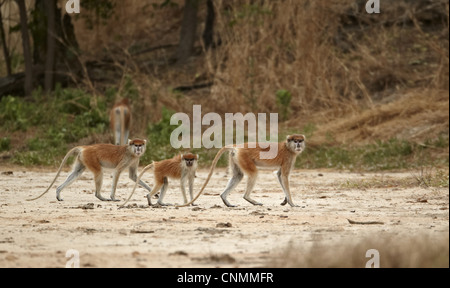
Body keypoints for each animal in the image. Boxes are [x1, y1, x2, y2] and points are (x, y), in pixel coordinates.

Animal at [178, 134, 306, 207]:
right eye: (295, 141)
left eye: (300, 140)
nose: (298, 145)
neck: (288, 147)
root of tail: (237, 146)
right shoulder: (288, 158)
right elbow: (284, 176)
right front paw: (292, 203)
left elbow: (279, 175)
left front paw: (286, 200)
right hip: (244, 157)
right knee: (253, 174)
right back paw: (249, 199)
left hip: (235, 158)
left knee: (238, 175)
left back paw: (225, 199)